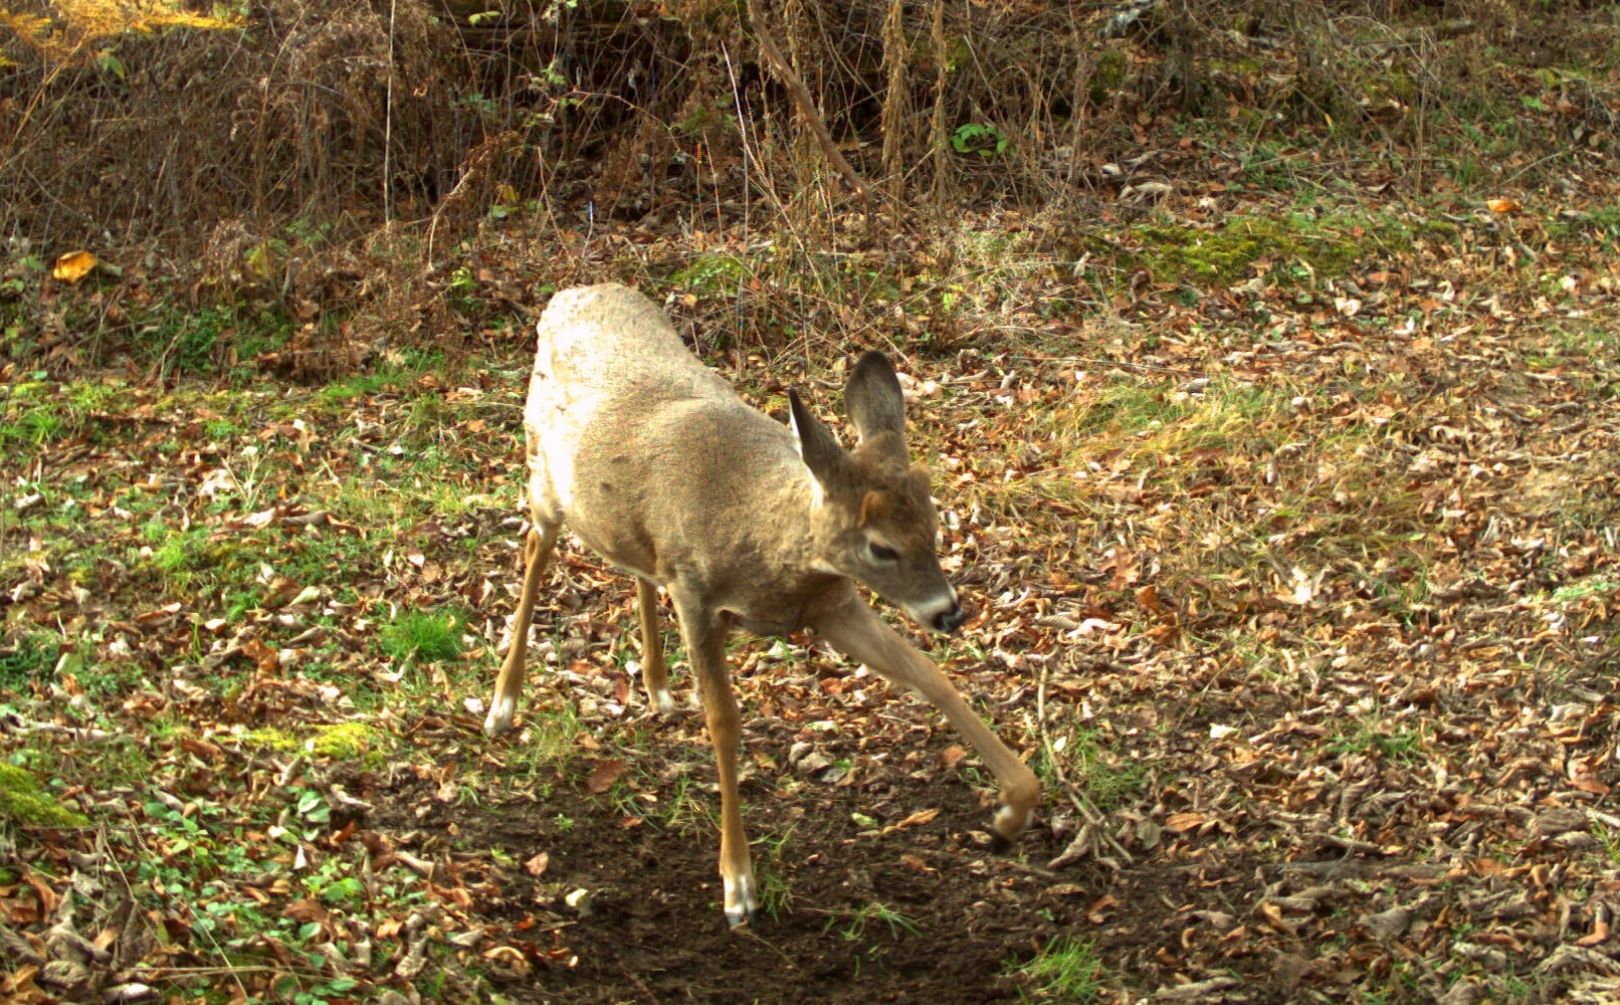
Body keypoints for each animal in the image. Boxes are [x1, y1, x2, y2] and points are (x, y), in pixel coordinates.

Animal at [479, 282, 1036, 927]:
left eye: (935, 523)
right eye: (881, 546)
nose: (949, 612)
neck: (769, 548)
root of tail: (572, 292)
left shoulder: (829, 604)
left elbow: (929, 675)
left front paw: (1011, 813)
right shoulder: (696, 593)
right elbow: (724, 721)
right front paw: (738, 883)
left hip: (626, 524)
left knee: (632, 564)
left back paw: (658, 688)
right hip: (543, 478)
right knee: (535, 551)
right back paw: (502, 704)